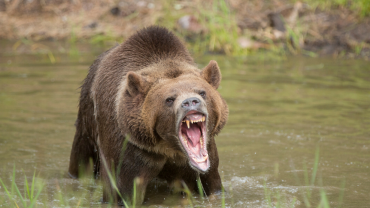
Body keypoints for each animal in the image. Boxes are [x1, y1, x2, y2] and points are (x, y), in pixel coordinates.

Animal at [67, 26, 228, 205]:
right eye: (169, 99)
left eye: (202, 92)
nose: (191, 102)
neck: (167, 147)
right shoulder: (130, 149)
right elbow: (122, 191)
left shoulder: (204, 158)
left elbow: (211, 184)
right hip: (88, 119)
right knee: (82, 158)